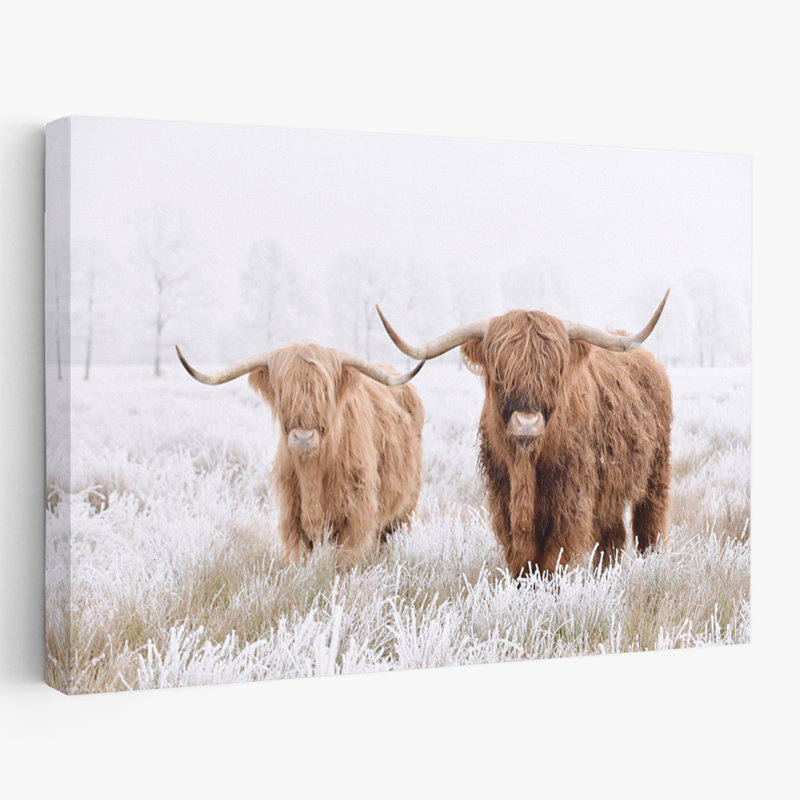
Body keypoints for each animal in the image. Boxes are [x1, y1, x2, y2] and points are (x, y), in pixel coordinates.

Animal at [176, 343, 425, 564]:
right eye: (283, 391)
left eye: (325, 391)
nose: (303, 437)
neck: (312, 471)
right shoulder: (291, 519)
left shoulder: (356, 518)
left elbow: (343, 563)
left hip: (406, 508)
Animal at [376, 293, 672, 577]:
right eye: (499, 374)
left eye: (555, 373)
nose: (527, 423)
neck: (525, 464)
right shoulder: (503, 498)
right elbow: (522, 560)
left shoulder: (571, 500)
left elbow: (554, 560)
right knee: (613, 537)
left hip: (656, 473)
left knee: (649, 526)